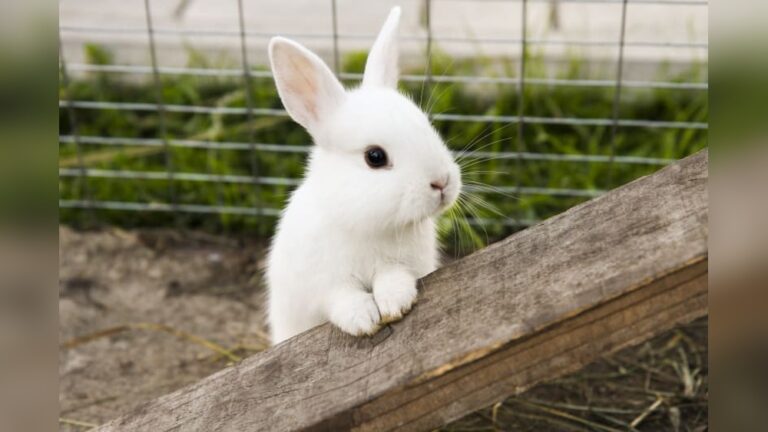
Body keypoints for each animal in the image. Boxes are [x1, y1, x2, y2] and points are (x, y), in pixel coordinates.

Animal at [266, 6, 461, 344]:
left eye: (426, 124)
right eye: (375, 157)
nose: (441, 183)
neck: (366, 224)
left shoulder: (403, 264)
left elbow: (393, 277)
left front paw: (395, 302)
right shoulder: (322, 285)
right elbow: (341, 298)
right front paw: (363, 319)